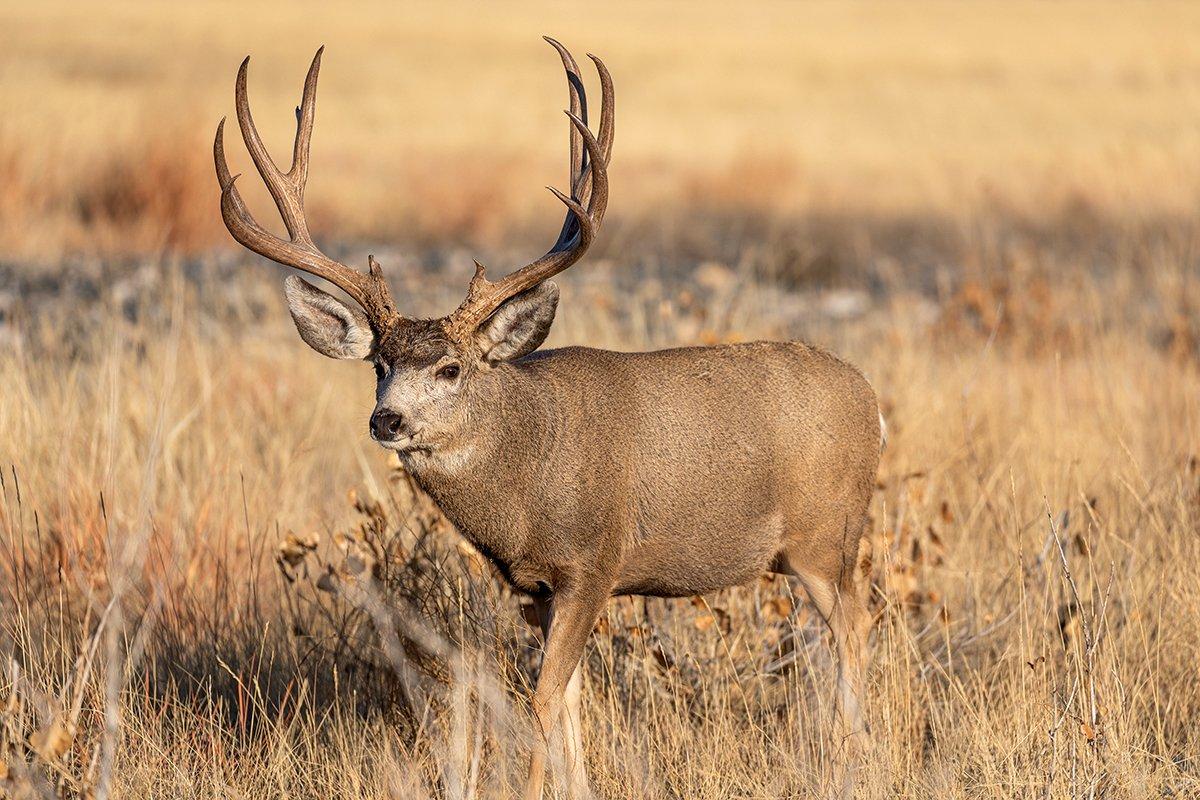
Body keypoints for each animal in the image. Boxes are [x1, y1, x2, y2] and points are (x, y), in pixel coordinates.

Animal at [211, 38, 883, 800]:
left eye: (451, 369)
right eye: (379, 363)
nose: (387, 421)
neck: (526, 479)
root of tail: (871, 399)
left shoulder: (593, 562)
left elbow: (537, 697)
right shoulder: (534, 586)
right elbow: (568, 700)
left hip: (825, 536)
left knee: (856, 628)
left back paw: (853, 761)